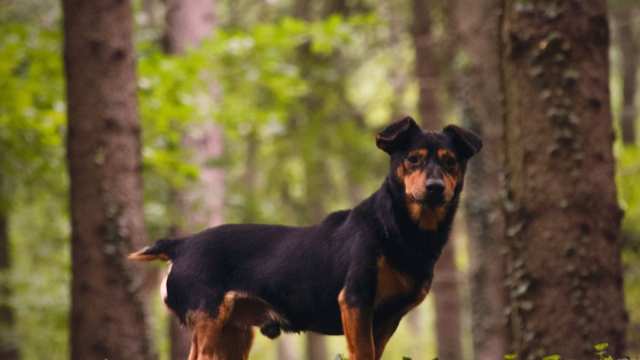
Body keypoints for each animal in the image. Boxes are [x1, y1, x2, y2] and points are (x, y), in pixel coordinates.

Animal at [129, 116, 480, 358]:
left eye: (451, 162)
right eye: (413, 159)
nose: (435, 187)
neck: (400, 228)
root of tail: (182, 244)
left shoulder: (386, 319)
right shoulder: (355, 300)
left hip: (235, 333)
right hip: (209, 323)